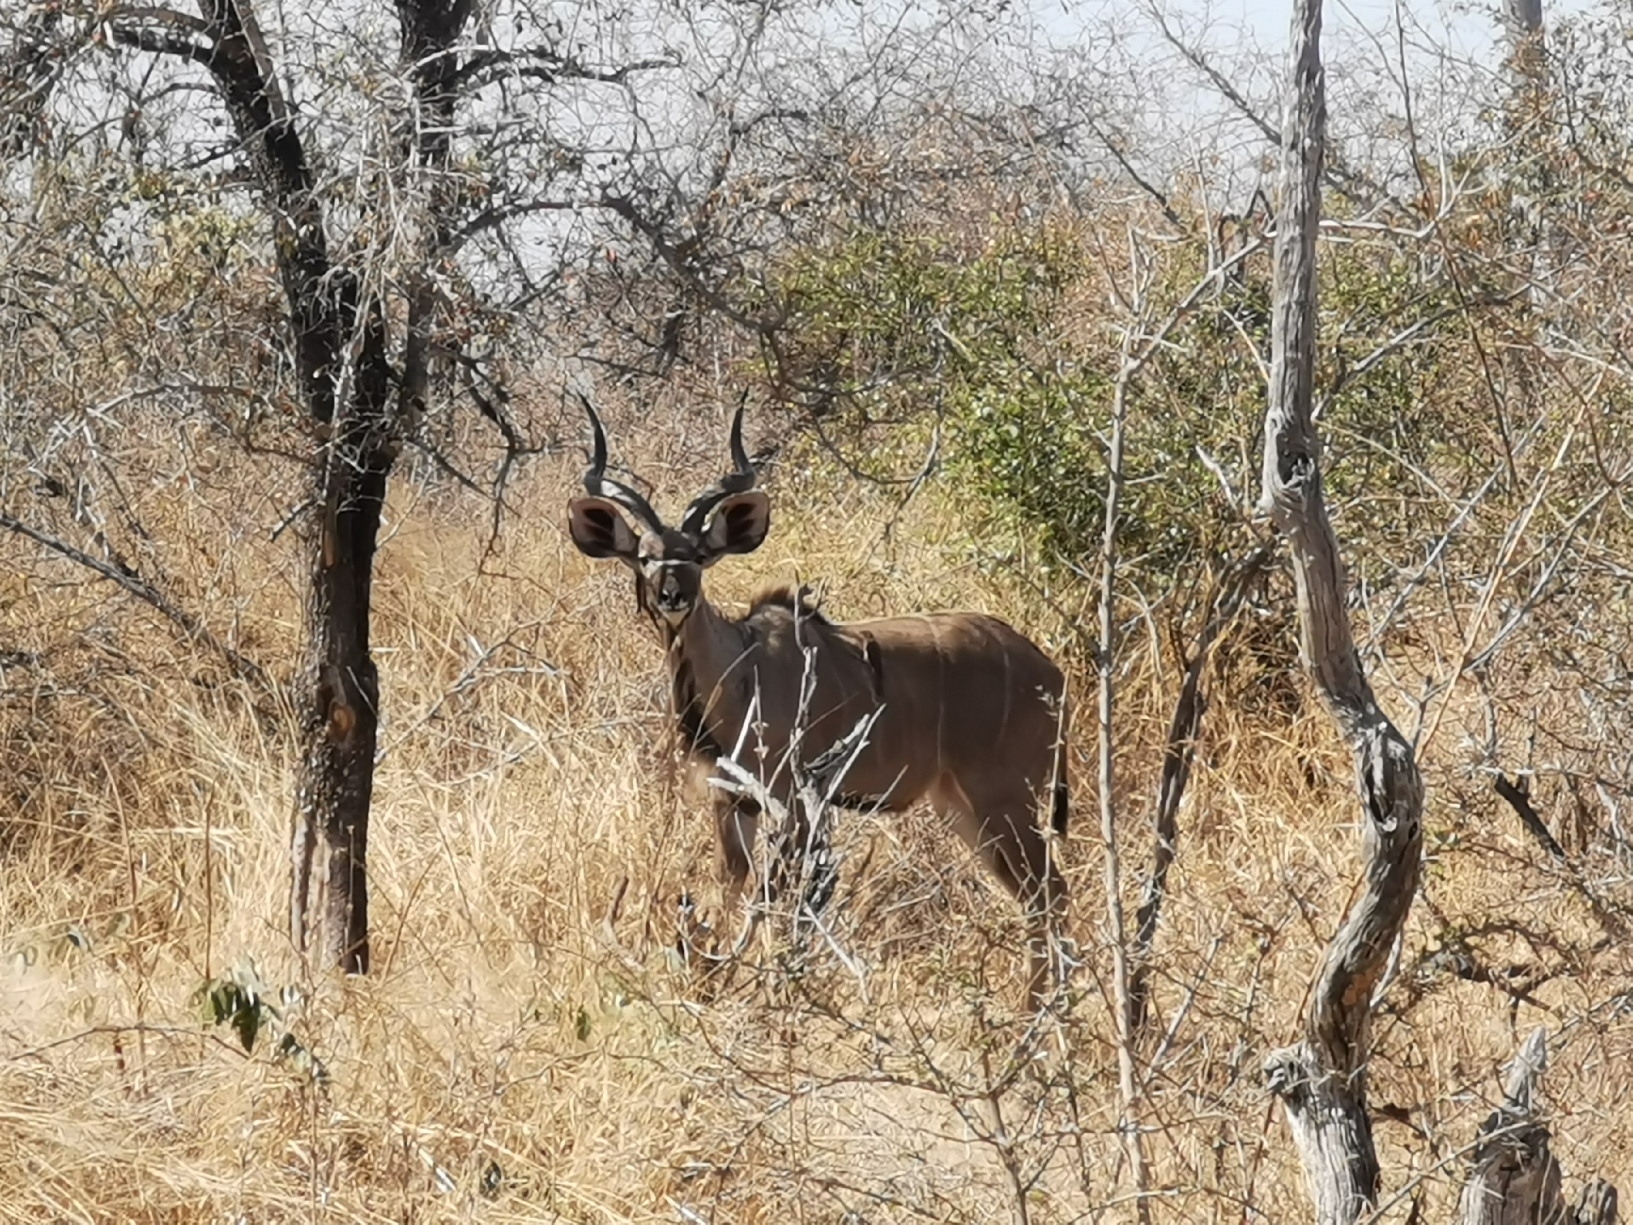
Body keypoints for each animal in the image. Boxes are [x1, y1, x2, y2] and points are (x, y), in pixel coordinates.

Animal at [565, 403, 1071, 1006]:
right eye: (644, 556)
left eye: (699, 556)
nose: (672, 595)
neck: (738, 672)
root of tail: (1051, 673)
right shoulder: (731, 801)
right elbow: (732, 888)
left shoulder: (792, 797)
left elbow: (780, 899)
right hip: (962, 806)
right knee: (1038, 893)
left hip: (1004, 798)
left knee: (1049, 891)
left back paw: (1041, 1015)